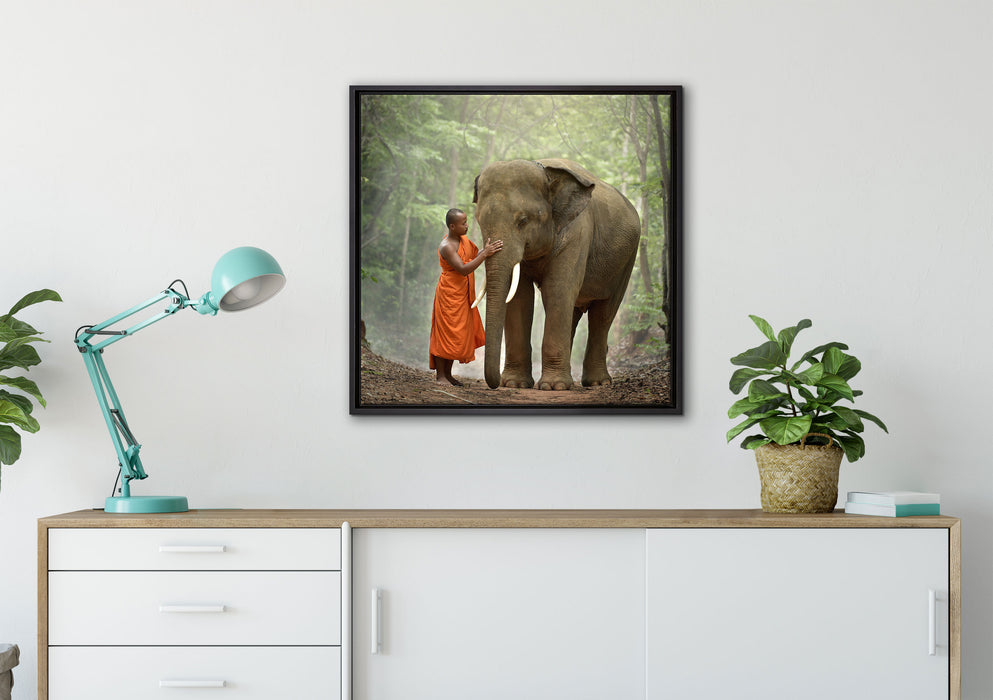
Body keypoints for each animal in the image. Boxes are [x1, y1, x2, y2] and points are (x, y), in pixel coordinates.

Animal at [472, 158, 641, 391]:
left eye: (522, 221)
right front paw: (515, 384)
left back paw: (597, 383)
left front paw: (553, 387)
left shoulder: (577, 233)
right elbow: (520, 297)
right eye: (479, 221)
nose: (495, 384)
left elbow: (557, 290)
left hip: (626, 261)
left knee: (603, 313)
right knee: (575, 312)